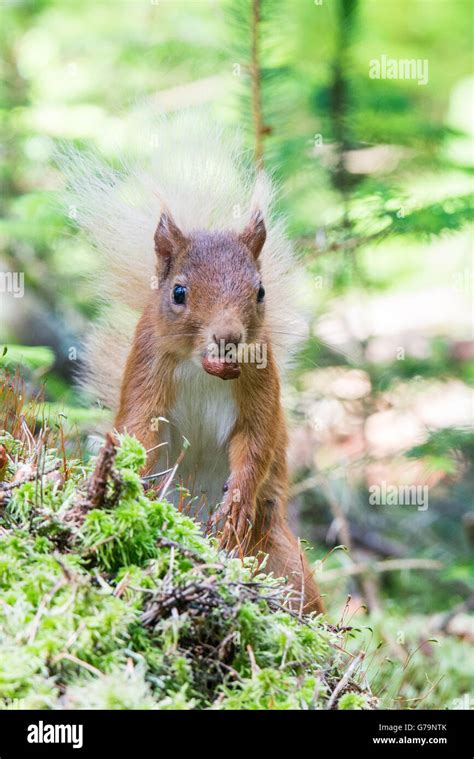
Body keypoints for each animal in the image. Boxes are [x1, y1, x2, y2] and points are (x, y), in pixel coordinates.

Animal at [64, 111, 322, 616]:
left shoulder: (261, 380)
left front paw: (237, 503)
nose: (228, 337)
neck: (204, 369)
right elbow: (139, 428)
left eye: (260, 291)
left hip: (279, 554)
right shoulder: (148, 368)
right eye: (179, 292)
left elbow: (257, 440)